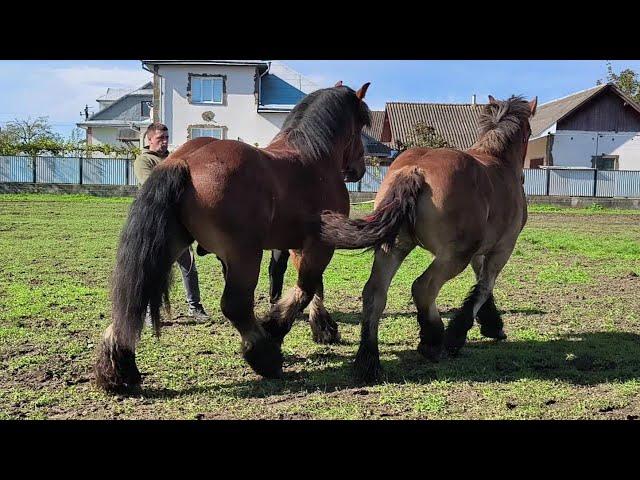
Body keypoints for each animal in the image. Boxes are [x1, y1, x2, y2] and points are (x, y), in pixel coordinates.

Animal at [96, 80, 376, 392]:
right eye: (362, 122)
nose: (359, 168)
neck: (313, 159)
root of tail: (184, 161)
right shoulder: (320, 245)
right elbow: (305, 289)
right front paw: (276, 329)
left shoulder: (298, 246)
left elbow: (315, 287)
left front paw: (322, 328)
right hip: (244, 255)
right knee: (235, 305)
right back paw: (264, 356)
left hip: (167, 247)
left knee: (133, 300)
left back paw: (119, 369)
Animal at [318, 94, 536, 382]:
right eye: (529, 132)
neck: (497, 161)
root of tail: (415, 170)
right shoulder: (501, 249)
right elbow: (484, 286)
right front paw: (459, 334)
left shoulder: (480, 252)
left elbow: (480, 283)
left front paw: (492, 324)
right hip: (452, 257)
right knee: (423, 287)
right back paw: (432, 339)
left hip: (394, 248)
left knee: (374, 293)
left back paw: (369, 361)